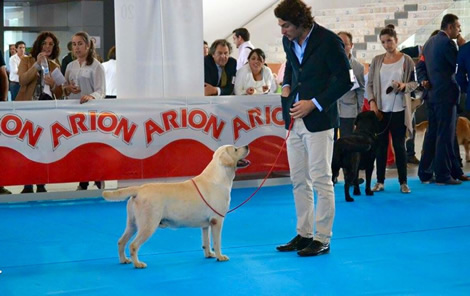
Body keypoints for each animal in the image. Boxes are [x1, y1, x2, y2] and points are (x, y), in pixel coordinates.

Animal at [102, 145, 250, 268]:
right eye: (236, 149)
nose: (247, 146)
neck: (219, 177)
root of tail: (139, 189)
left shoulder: (206, 224)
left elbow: (206, 241)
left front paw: (209, 254)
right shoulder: (217, 220)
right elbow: (217, 242)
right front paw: (220, 256)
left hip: (132, 224)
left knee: (121, 241)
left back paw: (124, 260)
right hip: (149, 224)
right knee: (133, 245)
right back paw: (138, 264)